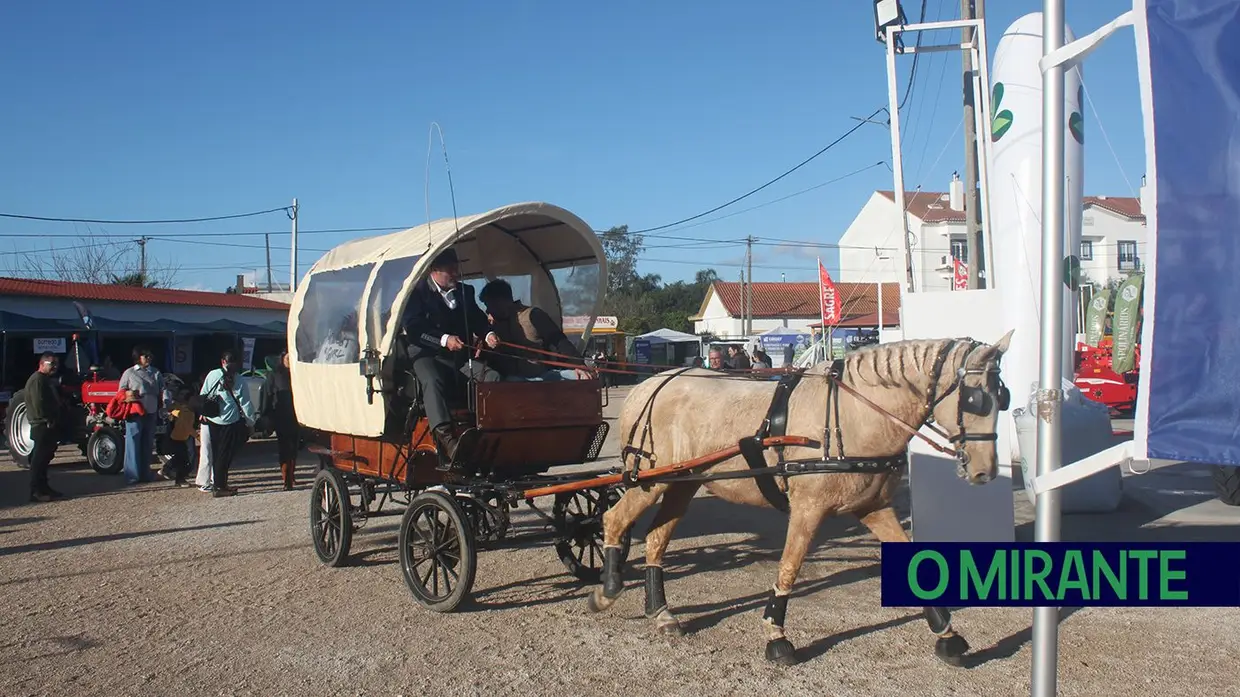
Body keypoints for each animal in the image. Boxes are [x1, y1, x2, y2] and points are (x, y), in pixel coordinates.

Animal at [585, 334, 1011, 664]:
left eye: (1002, 397)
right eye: (975, 399)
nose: (985, 471)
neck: (854, 413)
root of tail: (650, 384)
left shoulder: (872, 507)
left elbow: (911, 562)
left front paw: (947, 635)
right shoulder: (808, 509)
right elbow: (789, 566)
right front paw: (777, 637)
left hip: (682, 482)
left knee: (657, 539)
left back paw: (660, 612)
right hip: (649, 480)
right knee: (614, 521)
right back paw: (606, 590)